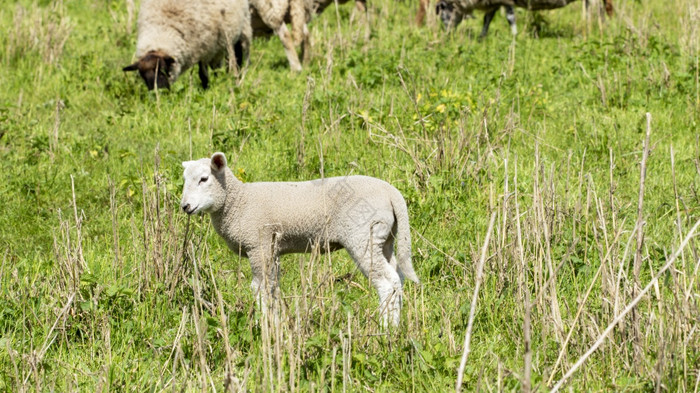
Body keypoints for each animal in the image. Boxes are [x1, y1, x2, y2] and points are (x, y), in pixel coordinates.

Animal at [122, 0, 252, 89]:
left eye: (163, 70)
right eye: (142, 75)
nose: (158, 92)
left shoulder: (203, 46)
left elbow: (203, 74)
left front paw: (206, 89)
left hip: (239, 29)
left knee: (237, 57)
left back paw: (237, 78)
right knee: (218, 66)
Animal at [182, 152, 422, 326]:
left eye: (204, 179)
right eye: (184, 180)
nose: (185, 206)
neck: (238, 201)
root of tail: (392, 193)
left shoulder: (258, 244)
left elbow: (260, 288)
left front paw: (266, 326)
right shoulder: (272, 248)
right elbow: (273, 286)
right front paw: (277, 323)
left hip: (363, 236)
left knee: (387, 282)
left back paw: (386, 328)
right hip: (385, 238)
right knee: (398, 278)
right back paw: (396, 325)